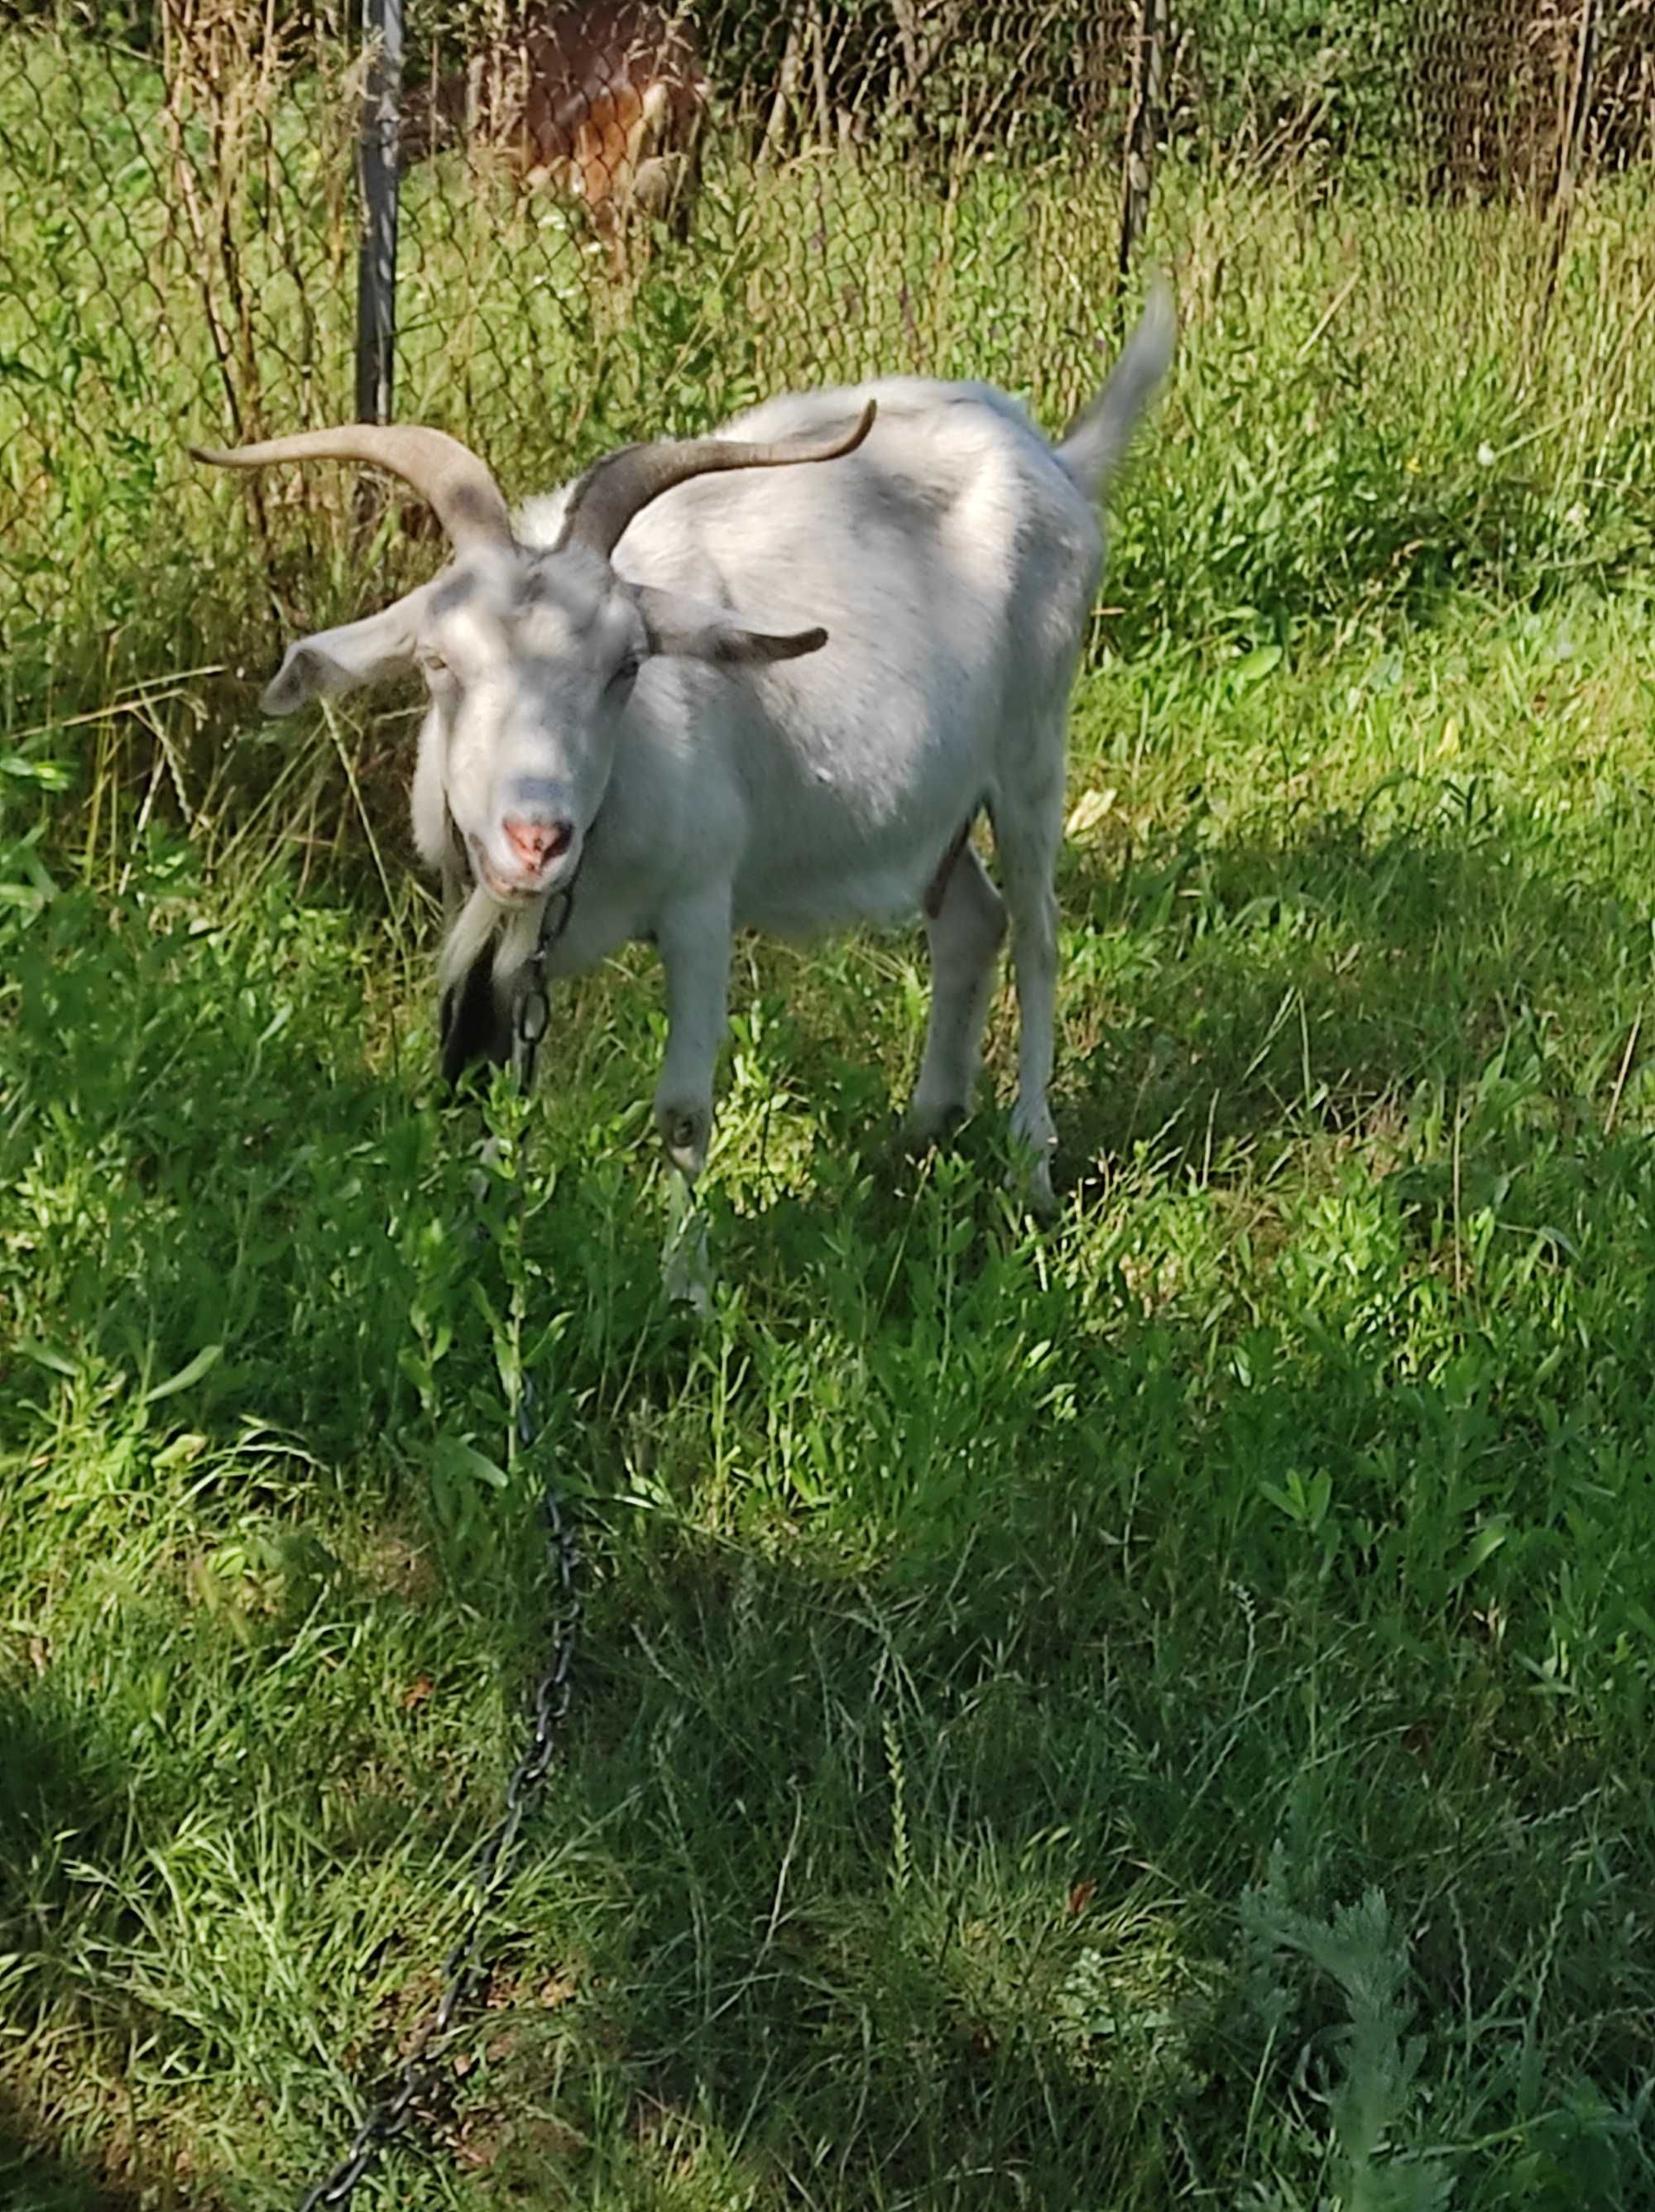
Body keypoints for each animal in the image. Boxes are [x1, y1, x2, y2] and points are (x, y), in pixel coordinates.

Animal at [193, 291, 1168, 1264]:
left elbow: (684, 1114)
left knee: (1039, 938)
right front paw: (482, 1244)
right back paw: (919, 1135)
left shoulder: (702, 902)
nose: (536, 838)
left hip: (1030, 751)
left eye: (627, 664)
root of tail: (1051, 459)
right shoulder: (485, 924)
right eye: (437, 661)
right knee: (971, 921)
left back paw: (1029, 1169)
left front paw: (685, 1288)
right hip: (937, 803)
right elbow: (490, 1080)